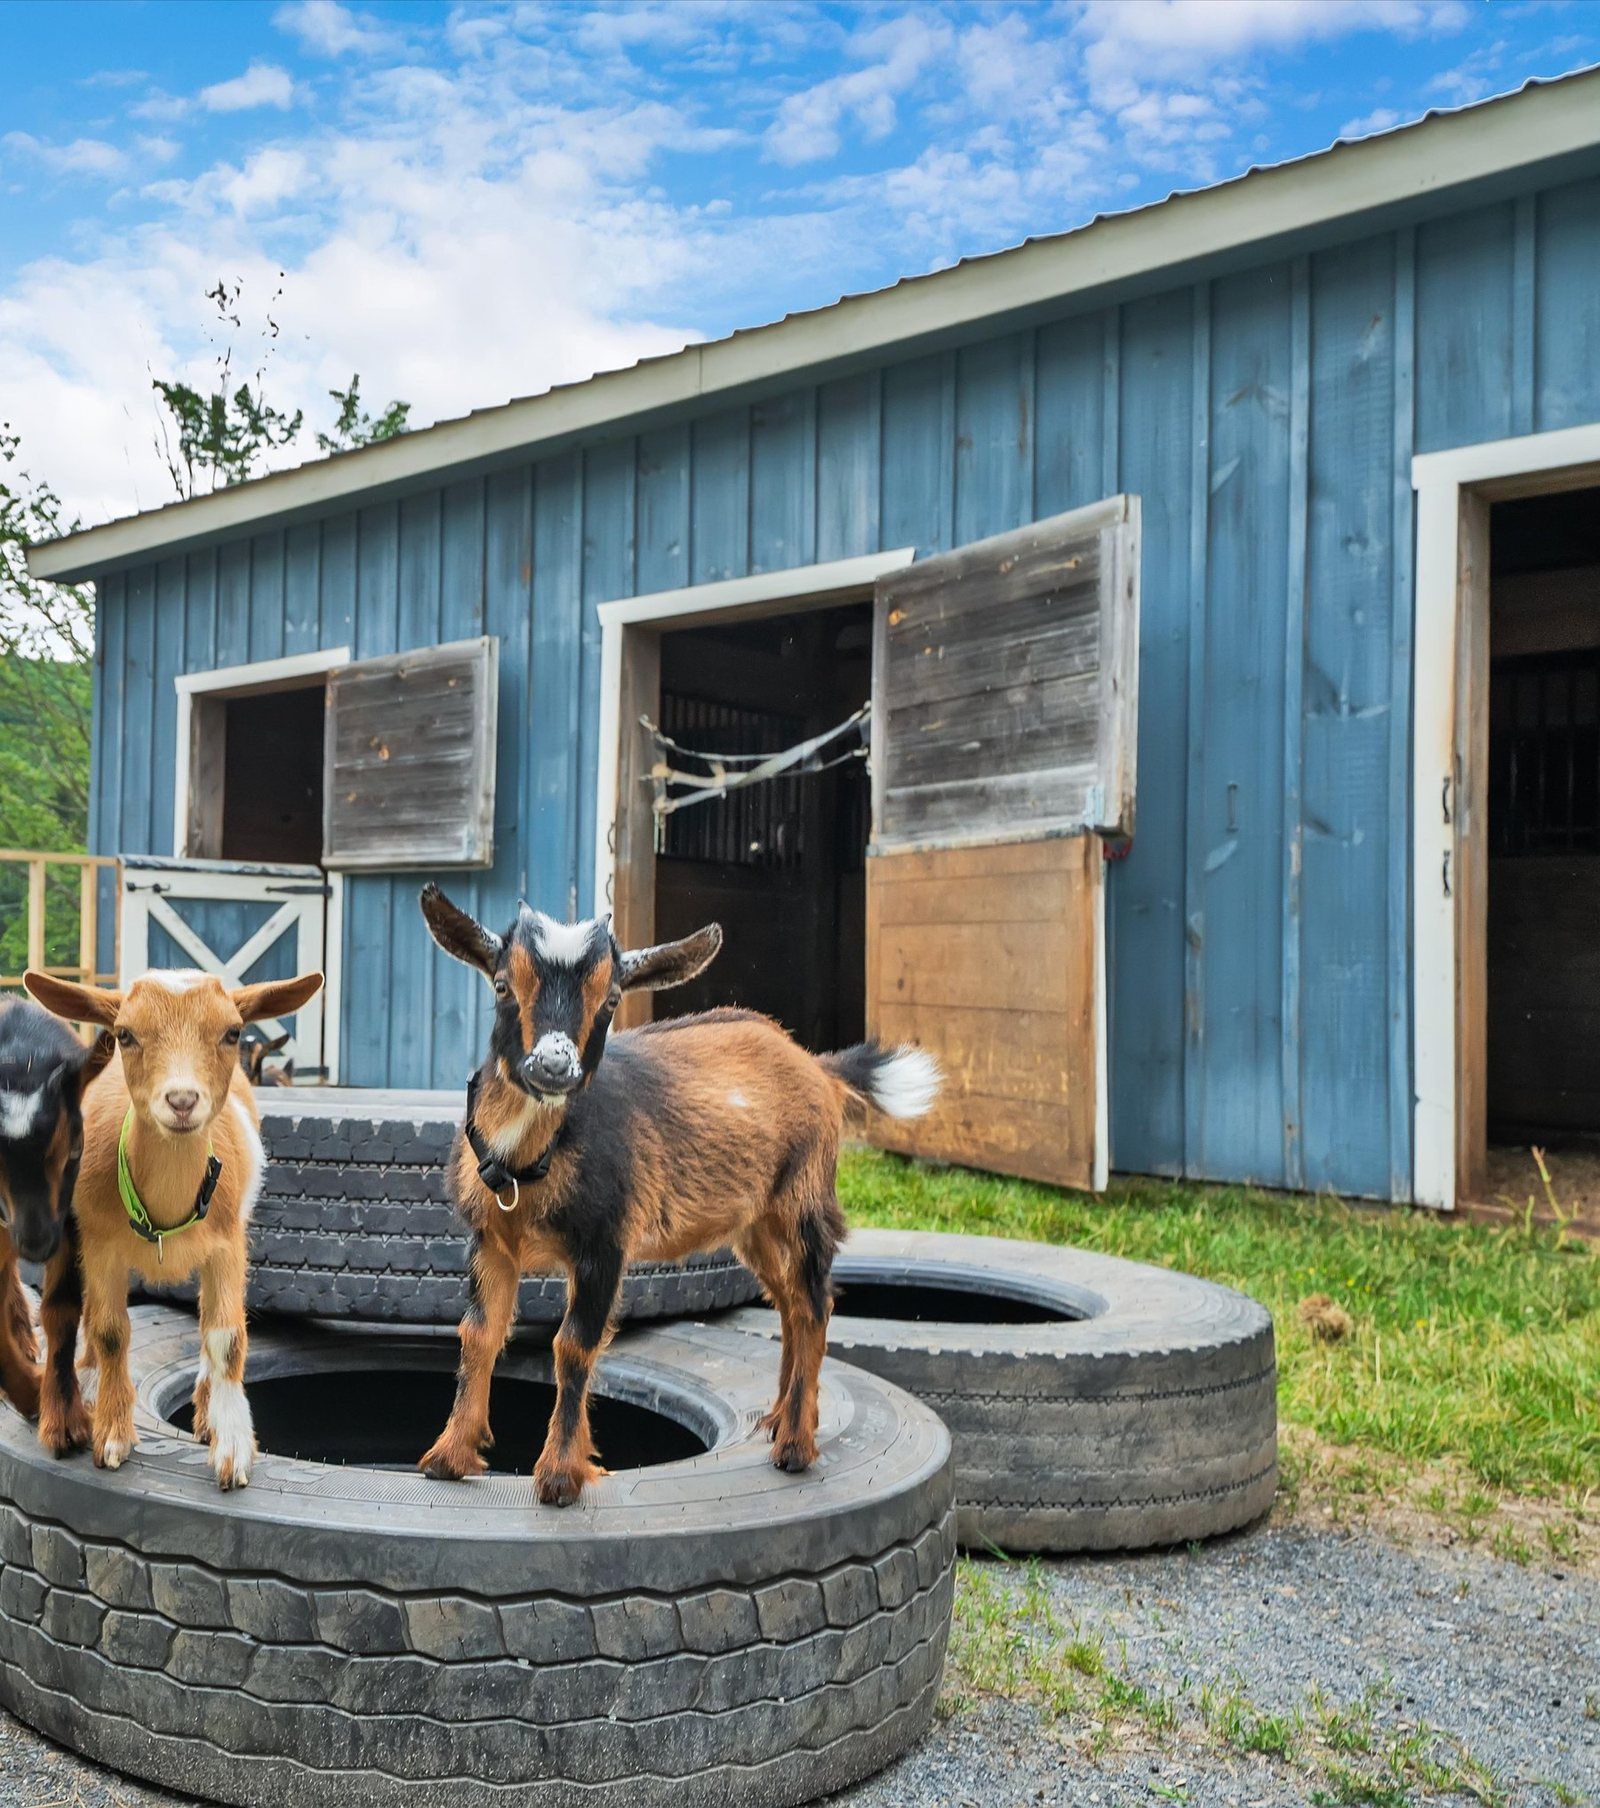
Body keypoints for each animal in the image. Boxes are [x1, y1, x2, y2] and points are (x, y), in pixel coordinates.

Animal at [0, 998, 114, 1440]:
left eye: (76, 1146)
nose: (37, 1243)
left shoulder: (69, 1216)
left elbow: (61, 1308)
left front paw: (63, 1416)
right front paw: (29, 1393)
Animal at [25, 967, 323, 1487]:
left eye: (232, 1032)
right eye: (126, 1035)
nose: (182, 1100)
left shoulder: (228, 1246)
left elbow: (226, 1336)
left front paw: (232, 1446)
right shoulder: (101, 1245)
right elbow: (109, 1331)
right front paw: (112, 1433)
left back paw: (204, 1414)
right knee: (70, 1314)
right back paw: (73, 1410)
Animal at [415, 886, 941, 1508]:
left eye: (612, 997)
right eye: (501, 984)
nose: (554, 1065)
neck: (527, 1161)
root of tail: (814, 1064)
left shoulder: (605, 1244)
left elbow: (574, 1346)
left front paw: (561, 1476)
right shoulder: (489, 1241)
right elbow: (478, 1334)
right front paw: (448, 1458)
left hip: (805, 1197)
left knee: (815, 1302)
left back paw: (795, 1446)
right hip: (754, 1224)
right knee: (788, 1301)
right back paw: (780, 1419)